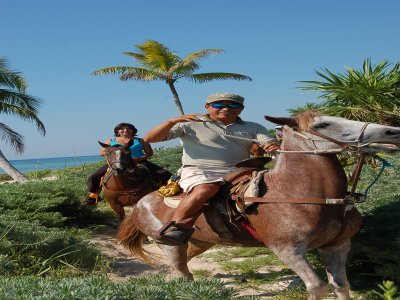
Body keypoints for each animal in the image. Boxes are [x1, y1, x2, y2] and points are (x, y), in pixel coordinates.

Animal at [116, 111, 400, 298]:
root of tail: (141, 203)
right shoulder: (288, 250)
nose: (392, 132)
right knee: (181, 272)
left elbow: (341, 286)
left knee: (180, 269)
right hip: (170, 244)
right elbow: (318, 287)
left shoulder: (338, 245)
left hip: (199, 241)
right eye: (324, 123)